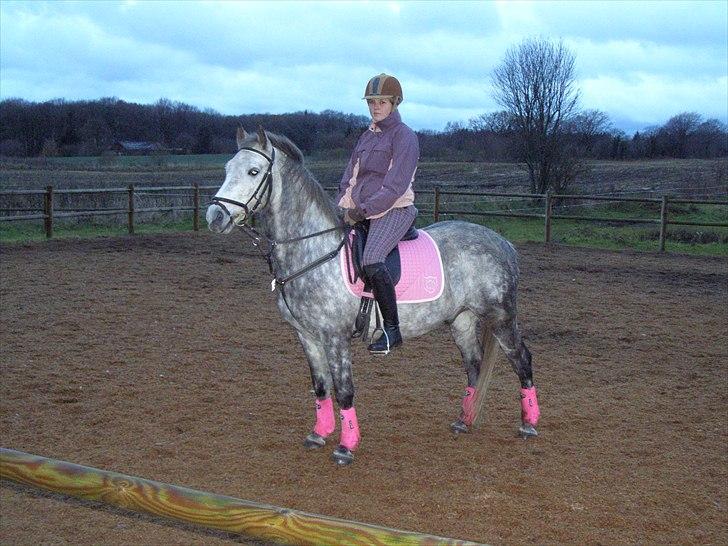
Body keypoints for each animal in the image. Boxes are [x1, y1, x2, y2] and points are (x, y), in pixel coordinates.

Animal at [206, 127, 540, 465]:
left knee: (521, 359)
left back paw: (529, 424)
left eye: (254, 171)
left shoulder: (335, 337)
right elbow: (320, 387)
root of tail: (502, 243)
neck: (313, 250)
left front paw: (346, 446)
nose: (215, 216)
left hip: (500, 317)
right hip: (462, 319)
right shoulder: (307, 336)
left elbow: (344, 390)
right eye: (226, 169)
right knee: (473, 364)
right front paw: (318, 434)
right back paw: (464, 420)